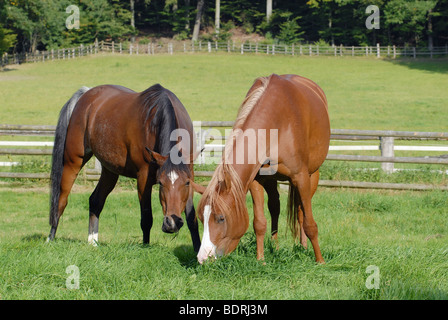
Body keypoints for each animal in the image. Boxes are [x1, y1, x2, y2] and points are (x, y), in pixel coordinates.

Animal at [47, 83, 201, 252]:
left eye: (186, 183)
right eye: (161, 183)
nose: (171, 223)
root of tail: (87, 93)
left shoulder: (190, 175)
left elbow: (192, 218)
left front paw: (198, 249)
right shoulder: (143, 179)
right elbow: (146, 217)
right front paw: (145, 247)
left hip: (110, 171)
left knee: (96, 201)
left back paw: (93, 242)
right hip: (73, 161)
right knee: (61, 201)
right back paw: (50, 238)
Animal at [198, 74, 330, 264]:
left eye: (221, 218)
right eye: (201, 218)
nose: (203, 258)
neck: (277, 123)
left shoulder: (301, 177)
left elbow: (310, 223)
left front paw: (320, 261)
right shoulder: (256, 180)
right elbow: (259, 223)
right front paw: (260, 259)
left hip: (313, 175)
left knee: (301, 211)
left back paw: (304, 247)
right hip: (272, 180)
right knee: (275, 207)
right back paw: (275, 247)